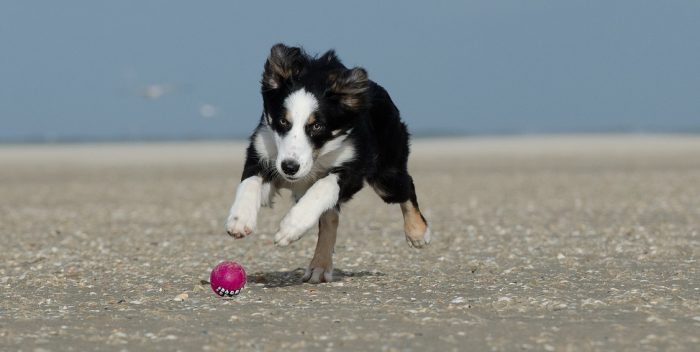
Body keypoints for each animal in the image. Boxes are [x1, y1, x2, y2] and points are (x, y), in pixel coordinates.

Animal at [227, 43, 430, 284]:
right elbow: (249, 182)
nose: (289, 167)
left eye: (317, 126)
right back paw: (320, 266)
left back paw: (418, 233)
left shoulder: (355, 166)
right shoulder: (262, 151)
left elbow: (323, 187)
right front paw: (240, 219)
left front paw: (290, 227)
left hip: (386, 176)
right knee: (330, 218)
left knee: (406, 187)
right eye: (283, 121)